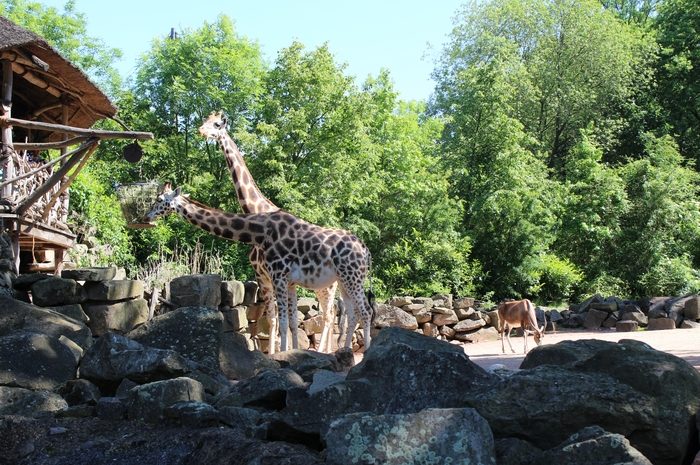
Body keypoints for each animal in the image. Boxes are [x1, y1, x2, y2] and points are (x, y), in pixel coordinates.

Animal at [145, 183, 374, 350]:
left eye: (159, 200)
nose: (146, 216)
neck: (259, 232)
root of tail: (366, 251)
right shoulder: (289, 281)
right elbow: (291, 322)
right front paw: (293, 352)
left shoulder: (278, 275)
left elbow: (282, 323)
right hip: (343, 281)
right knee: (352, 313)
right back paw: (345, 351)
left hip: (351, 278)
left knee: (365, 311)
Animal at [197, 111, 340, 352]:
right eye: (205, 120)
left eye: (216, 124)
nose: (201, 130)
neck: (258, 212)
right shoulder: (267, 276)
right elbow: (281, 320)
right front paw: (283, 351)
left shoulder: (270, 276)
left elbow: (279, 319)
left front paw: (280, 353)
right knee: (331, 313)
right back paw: (330, 351)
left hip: (327, 287)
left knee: (329, 314)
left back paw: (325, 351)